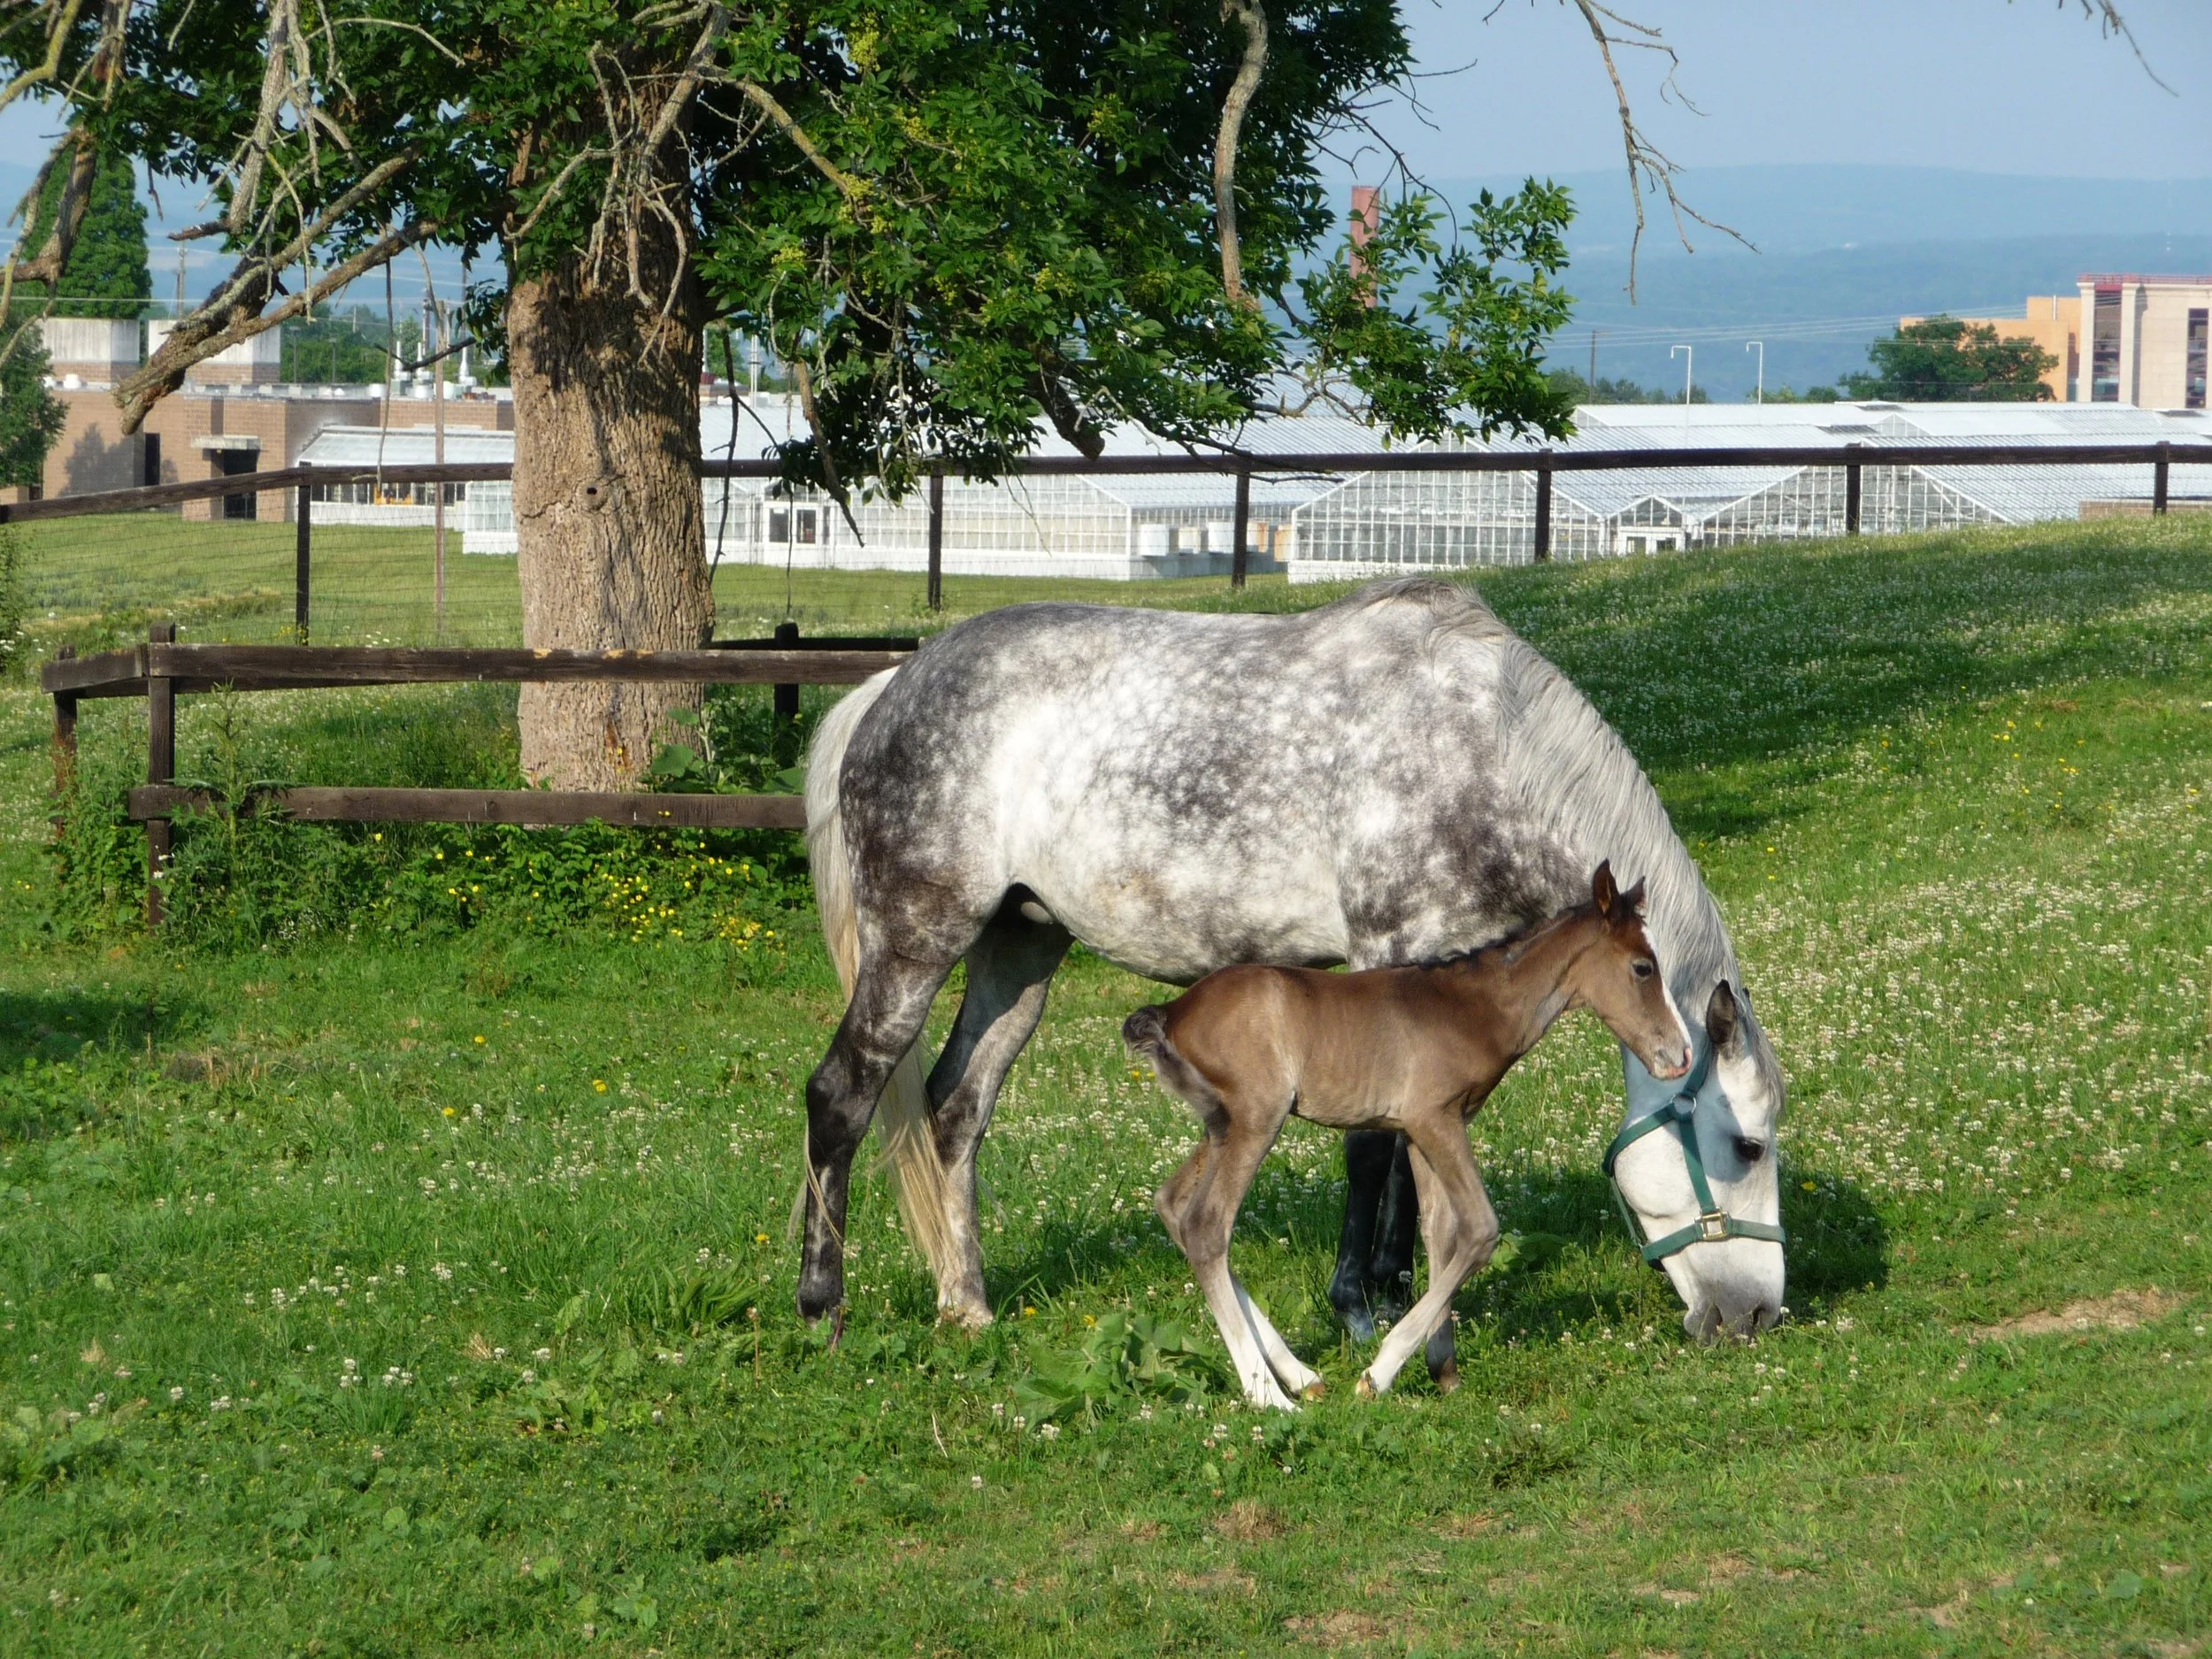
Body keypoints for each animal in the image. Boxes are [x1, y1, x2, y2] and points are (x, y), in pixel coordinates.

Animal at [1125, 863, 1692, 1408]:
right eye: (1643, 967)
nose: (1681, 1054)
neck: (1478, 1007)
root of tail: (1171, 1013)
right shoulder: (1435, 1119)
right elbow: (1479, 1229)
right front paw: (1379, 1372)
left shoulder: (1423, 1131)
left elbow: (1439, 1233)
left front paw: (1444, 1371)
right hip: (1255, 1119)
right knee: (1206, 1224)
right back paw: (1268, 1395)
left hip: (1220, 1125)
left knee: (1172, 1204)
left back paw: (1301, 1375)